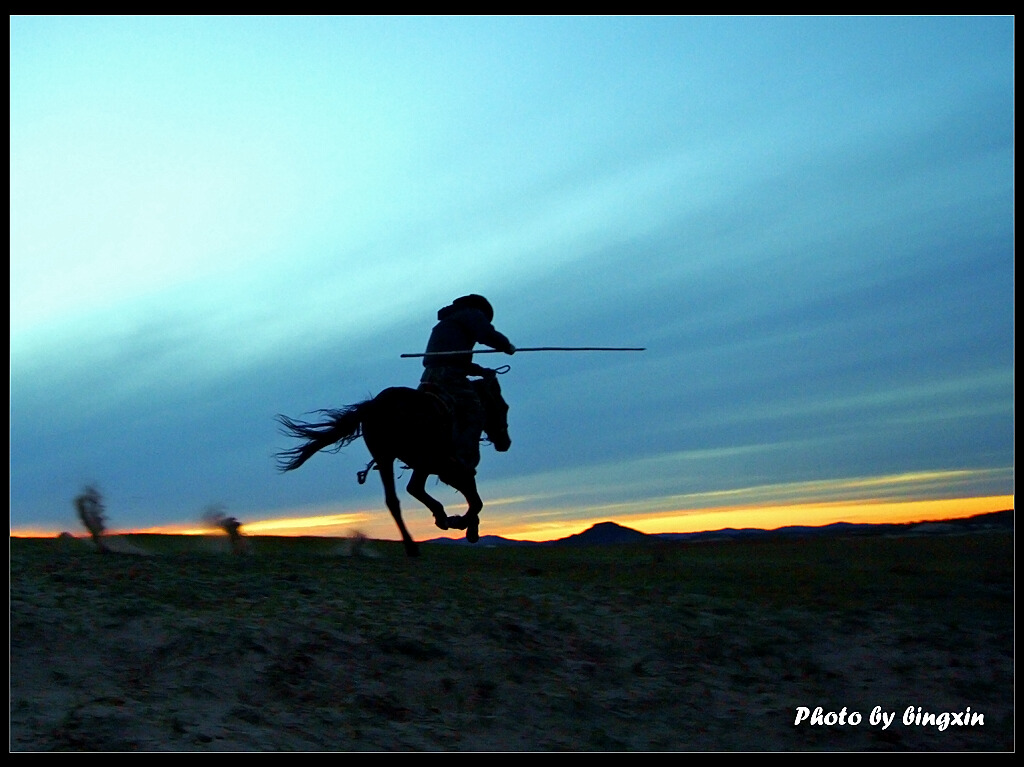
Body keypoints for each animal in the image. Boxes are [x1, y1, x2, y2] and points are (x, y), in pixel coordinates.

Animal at [274, 366, 509, 557]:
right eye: (504, 407)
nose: (505, 442)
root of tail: (375, 405)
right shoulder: (452, 464)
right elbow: (475, 499)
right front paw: (464, 524)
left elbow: (471, 496)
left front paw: (462, 523)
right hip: (421, 456)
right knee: (414, 489)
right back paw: (438, 523)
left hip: (388, 457)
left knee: (394, 500)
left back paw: (413, 543)